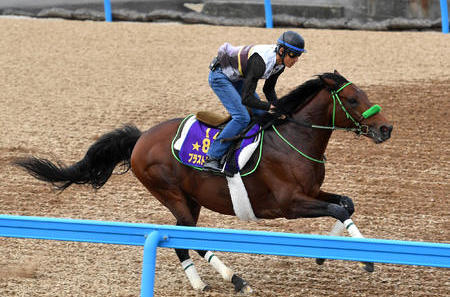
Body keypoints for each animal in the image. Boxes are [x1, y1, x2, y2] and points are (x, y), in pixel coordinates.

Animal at [15, 70, 392, 292]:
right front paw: (367, 259)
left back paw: (215, 281)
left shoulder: (312, 192)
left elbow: (345, 204)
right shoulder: (290, 204)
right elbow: (338, 210)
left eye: (364, 94)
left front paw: (331, 255)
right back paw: (231, 280)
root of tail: (140, 139)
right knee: (186, 240)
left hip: (190, 200)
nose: (385, 128)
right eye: (353, 99)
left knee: (183, 239)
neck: (293, 139)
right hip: (173, 195)